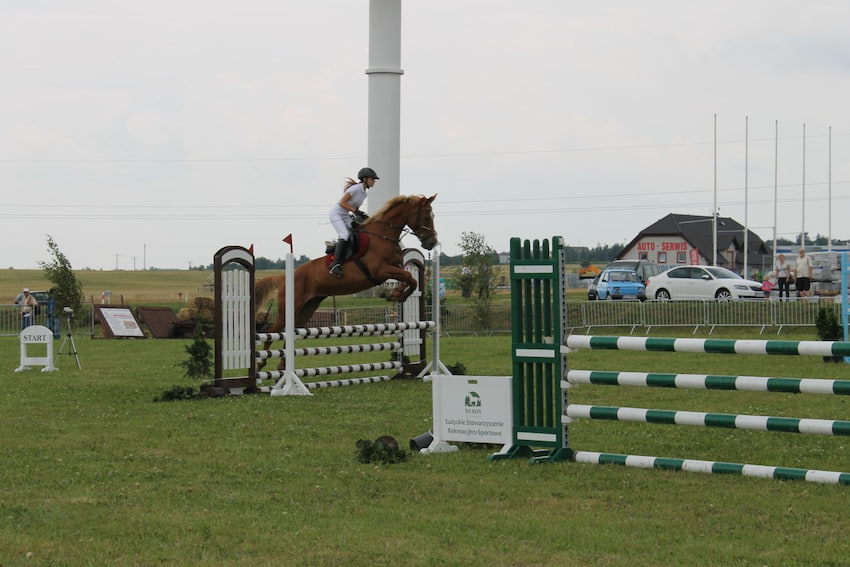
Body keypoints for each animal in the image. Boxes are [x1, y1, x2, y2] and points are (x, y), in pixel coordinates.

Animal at [252, 195, 438, 370]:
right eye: (426, 217)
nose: (431, 243)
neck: (382, 236)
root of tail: (286, 277)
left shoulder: (394, 267)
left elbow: (410, 278)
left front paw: (396, 294)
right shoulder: (380, 271)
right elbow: (408, 277)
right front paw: (396, 294)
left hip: (307, 308)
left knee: (291, 332)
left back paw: (282, 365)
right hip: (289, 308)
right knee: (272, 332)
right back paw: (261, 363)